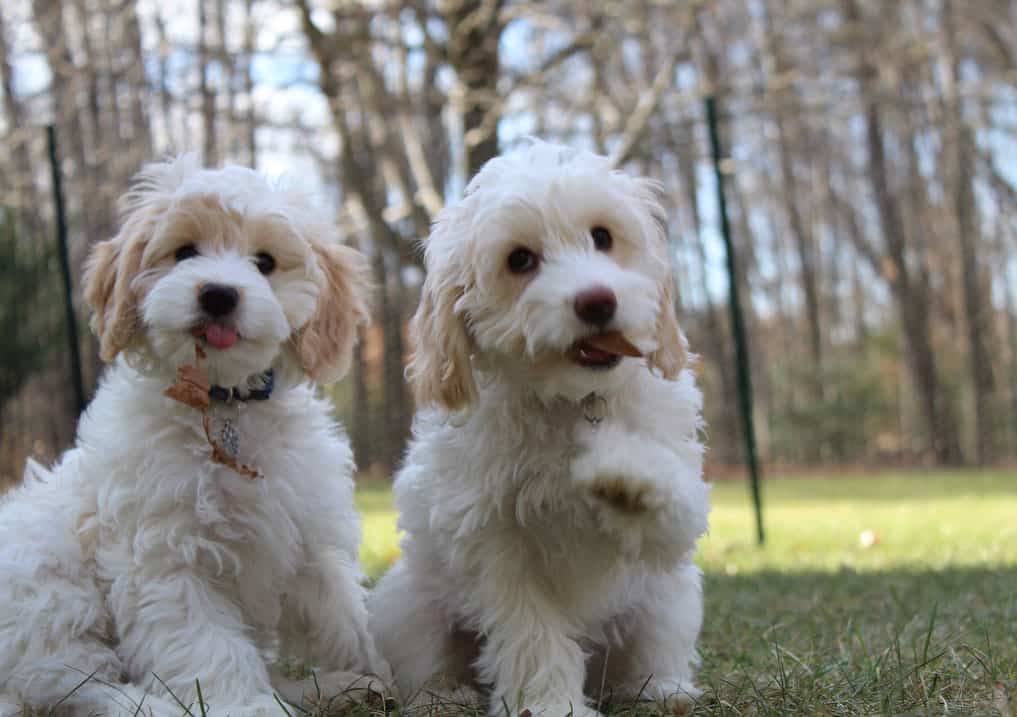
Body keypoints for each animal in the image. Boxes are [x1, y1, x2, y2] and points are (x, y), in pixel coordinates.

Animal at [0, 156, 386, 715]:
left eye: (265, 262)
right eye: (184, 252)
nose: (220, 294)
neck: (222, 403)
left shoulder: (305, 535)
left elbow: (343, 614)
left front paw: (389, 668)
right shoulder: (169, 555)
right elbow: (206, 643)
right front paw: (245, 705)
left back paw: (335, 687)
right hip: (47, 581)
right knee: (73, 682)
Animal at [370, 140, 711, 715]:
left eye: (603, 237)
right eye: (520, 260)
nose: (597, 300)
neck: (571, 400)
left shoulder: (679, 512)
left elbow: (669, 502)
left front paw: (626, 478)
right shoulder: (499, 544)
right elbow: (533, 634)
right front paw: (551, 704)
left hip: (667, 601)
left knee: (653, 650)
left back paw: (664, 690)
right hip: (409, 605)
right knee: (426, 660)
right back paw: (443, 696)